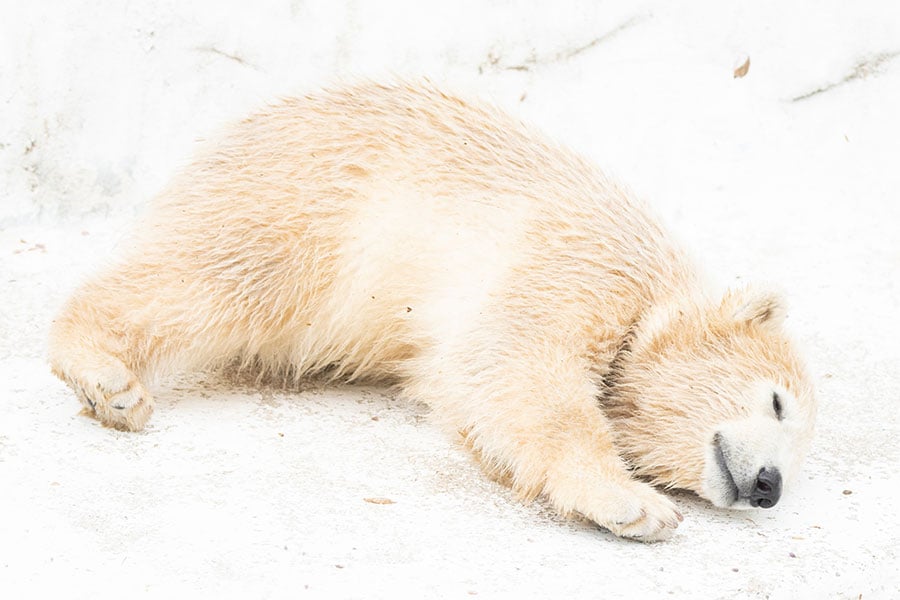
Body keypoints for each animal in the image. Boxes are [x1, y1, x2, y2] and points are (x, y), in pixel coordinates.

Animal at [52, 81, 820, 540]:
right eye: (778, 402)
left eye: (800, 448)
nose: (769, 487)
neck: (653, 291)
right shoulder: (581, 265)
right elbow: (518, 363)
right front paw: (634, 503)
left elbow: (475, 400)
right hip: (309, 209)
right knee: (216, 277)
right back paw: (108, 380)